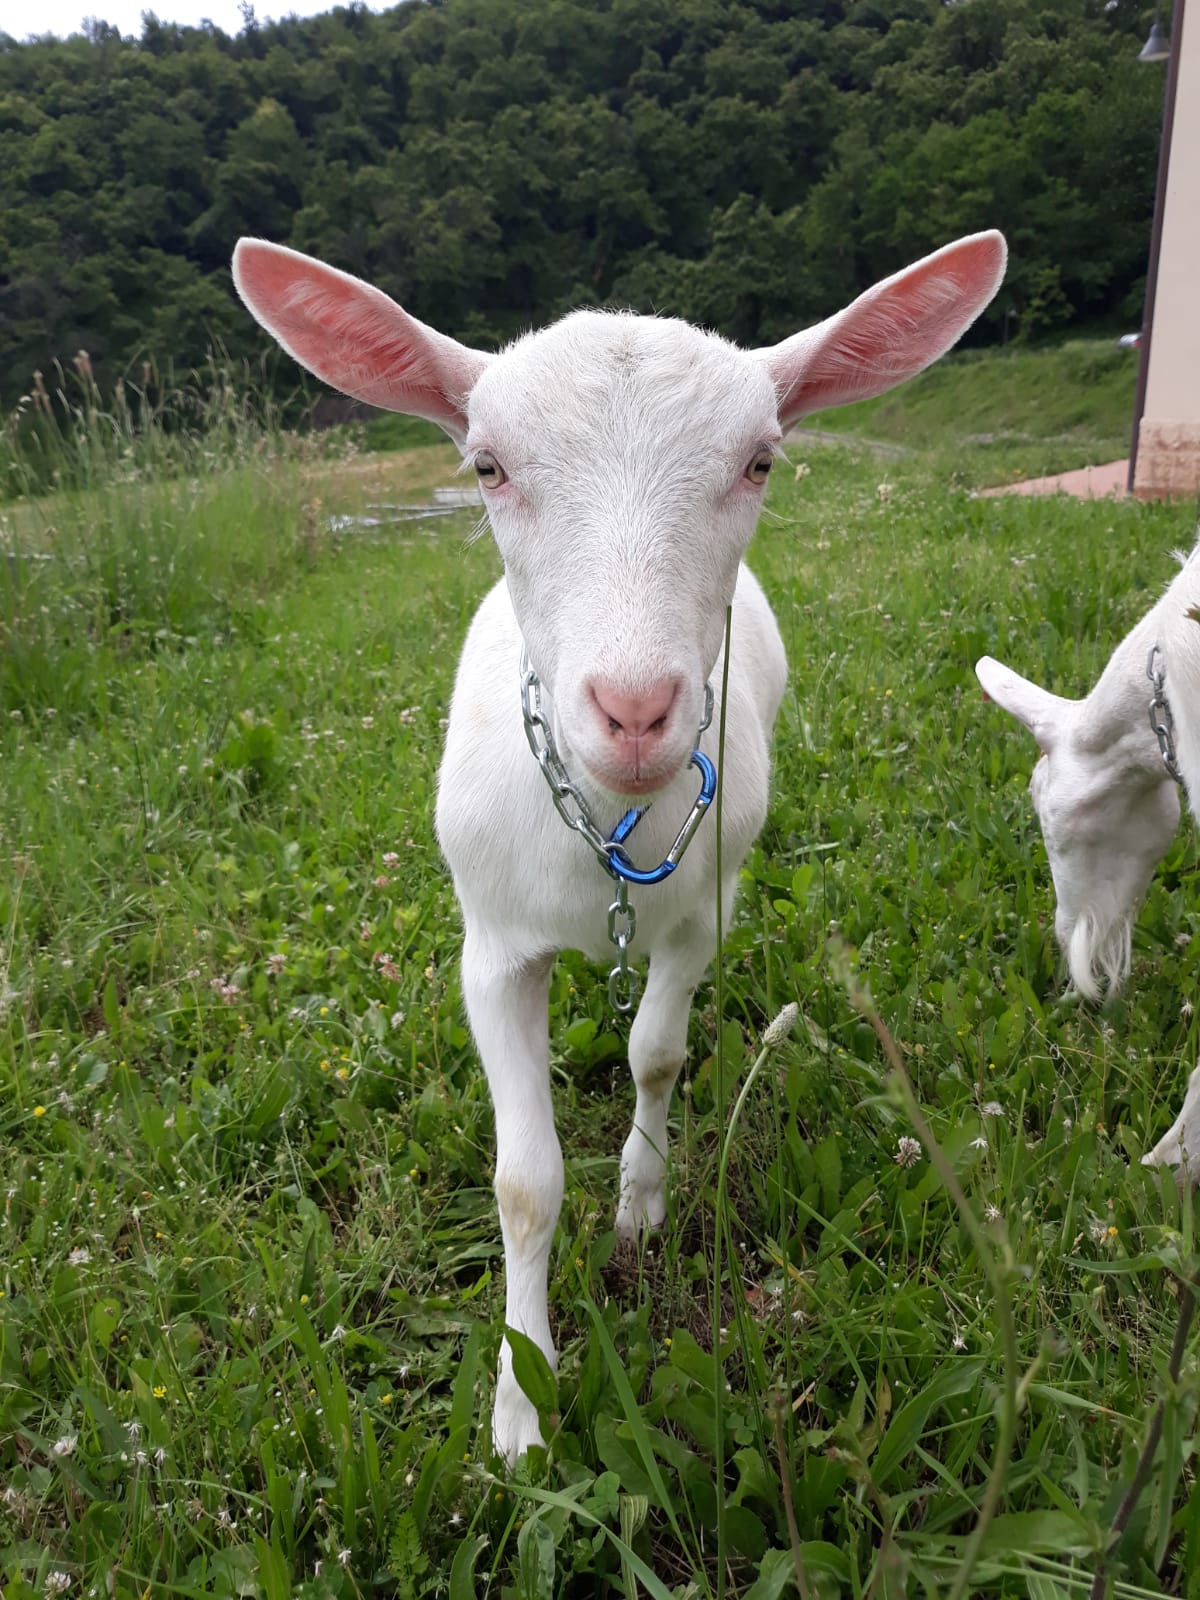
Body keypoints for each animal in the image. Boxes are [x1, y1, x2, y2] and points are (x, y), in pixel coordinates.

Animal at [234, 232, 1006, 1462]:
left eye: (760, 462)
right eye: (487, 467)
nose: (636, 710)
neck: (610, 828)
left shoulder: (704, 911)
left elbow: (654, 1053)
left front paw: (641, 1208)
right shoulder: (492, 948)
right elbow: (523, 1181)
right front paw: (522, 1407)